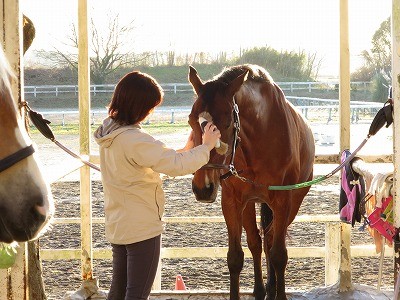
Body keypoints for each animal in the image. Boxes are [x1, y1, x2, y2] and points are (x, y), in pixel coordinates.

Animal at [188, 64, 316, 298]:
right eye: (191, 121)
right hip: (249, 204)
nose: (203, 188)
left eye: (227, 124)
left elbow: (279, 254)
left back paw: (272, 288)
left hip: (292, 203)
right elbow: (235, 257)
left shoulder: (283, 201)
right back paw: (260, 290)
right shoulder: (231, 202)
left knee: (271, 240)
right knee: (257, 242)